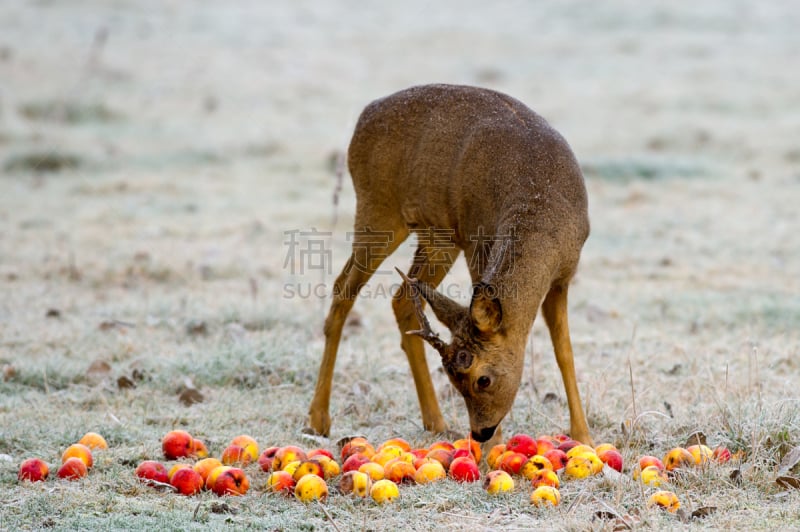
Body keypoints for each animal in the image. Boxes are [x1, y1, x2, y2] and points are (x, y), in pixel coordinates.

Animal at [306, 83, 592, 444]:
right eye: (454, 379)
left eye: (482, 379)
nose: (481, 432)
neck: (541, 201)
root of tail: (365, 114)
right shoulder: (477, 245)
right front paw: (496, 448)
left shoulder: (563, 274)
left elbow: (564, 351)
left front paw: (584, 437)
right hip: (378, 211)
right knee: (343, 288)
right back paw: (318, 419)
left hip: (436, 236)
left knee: (400, 297)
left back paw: (436, 422)